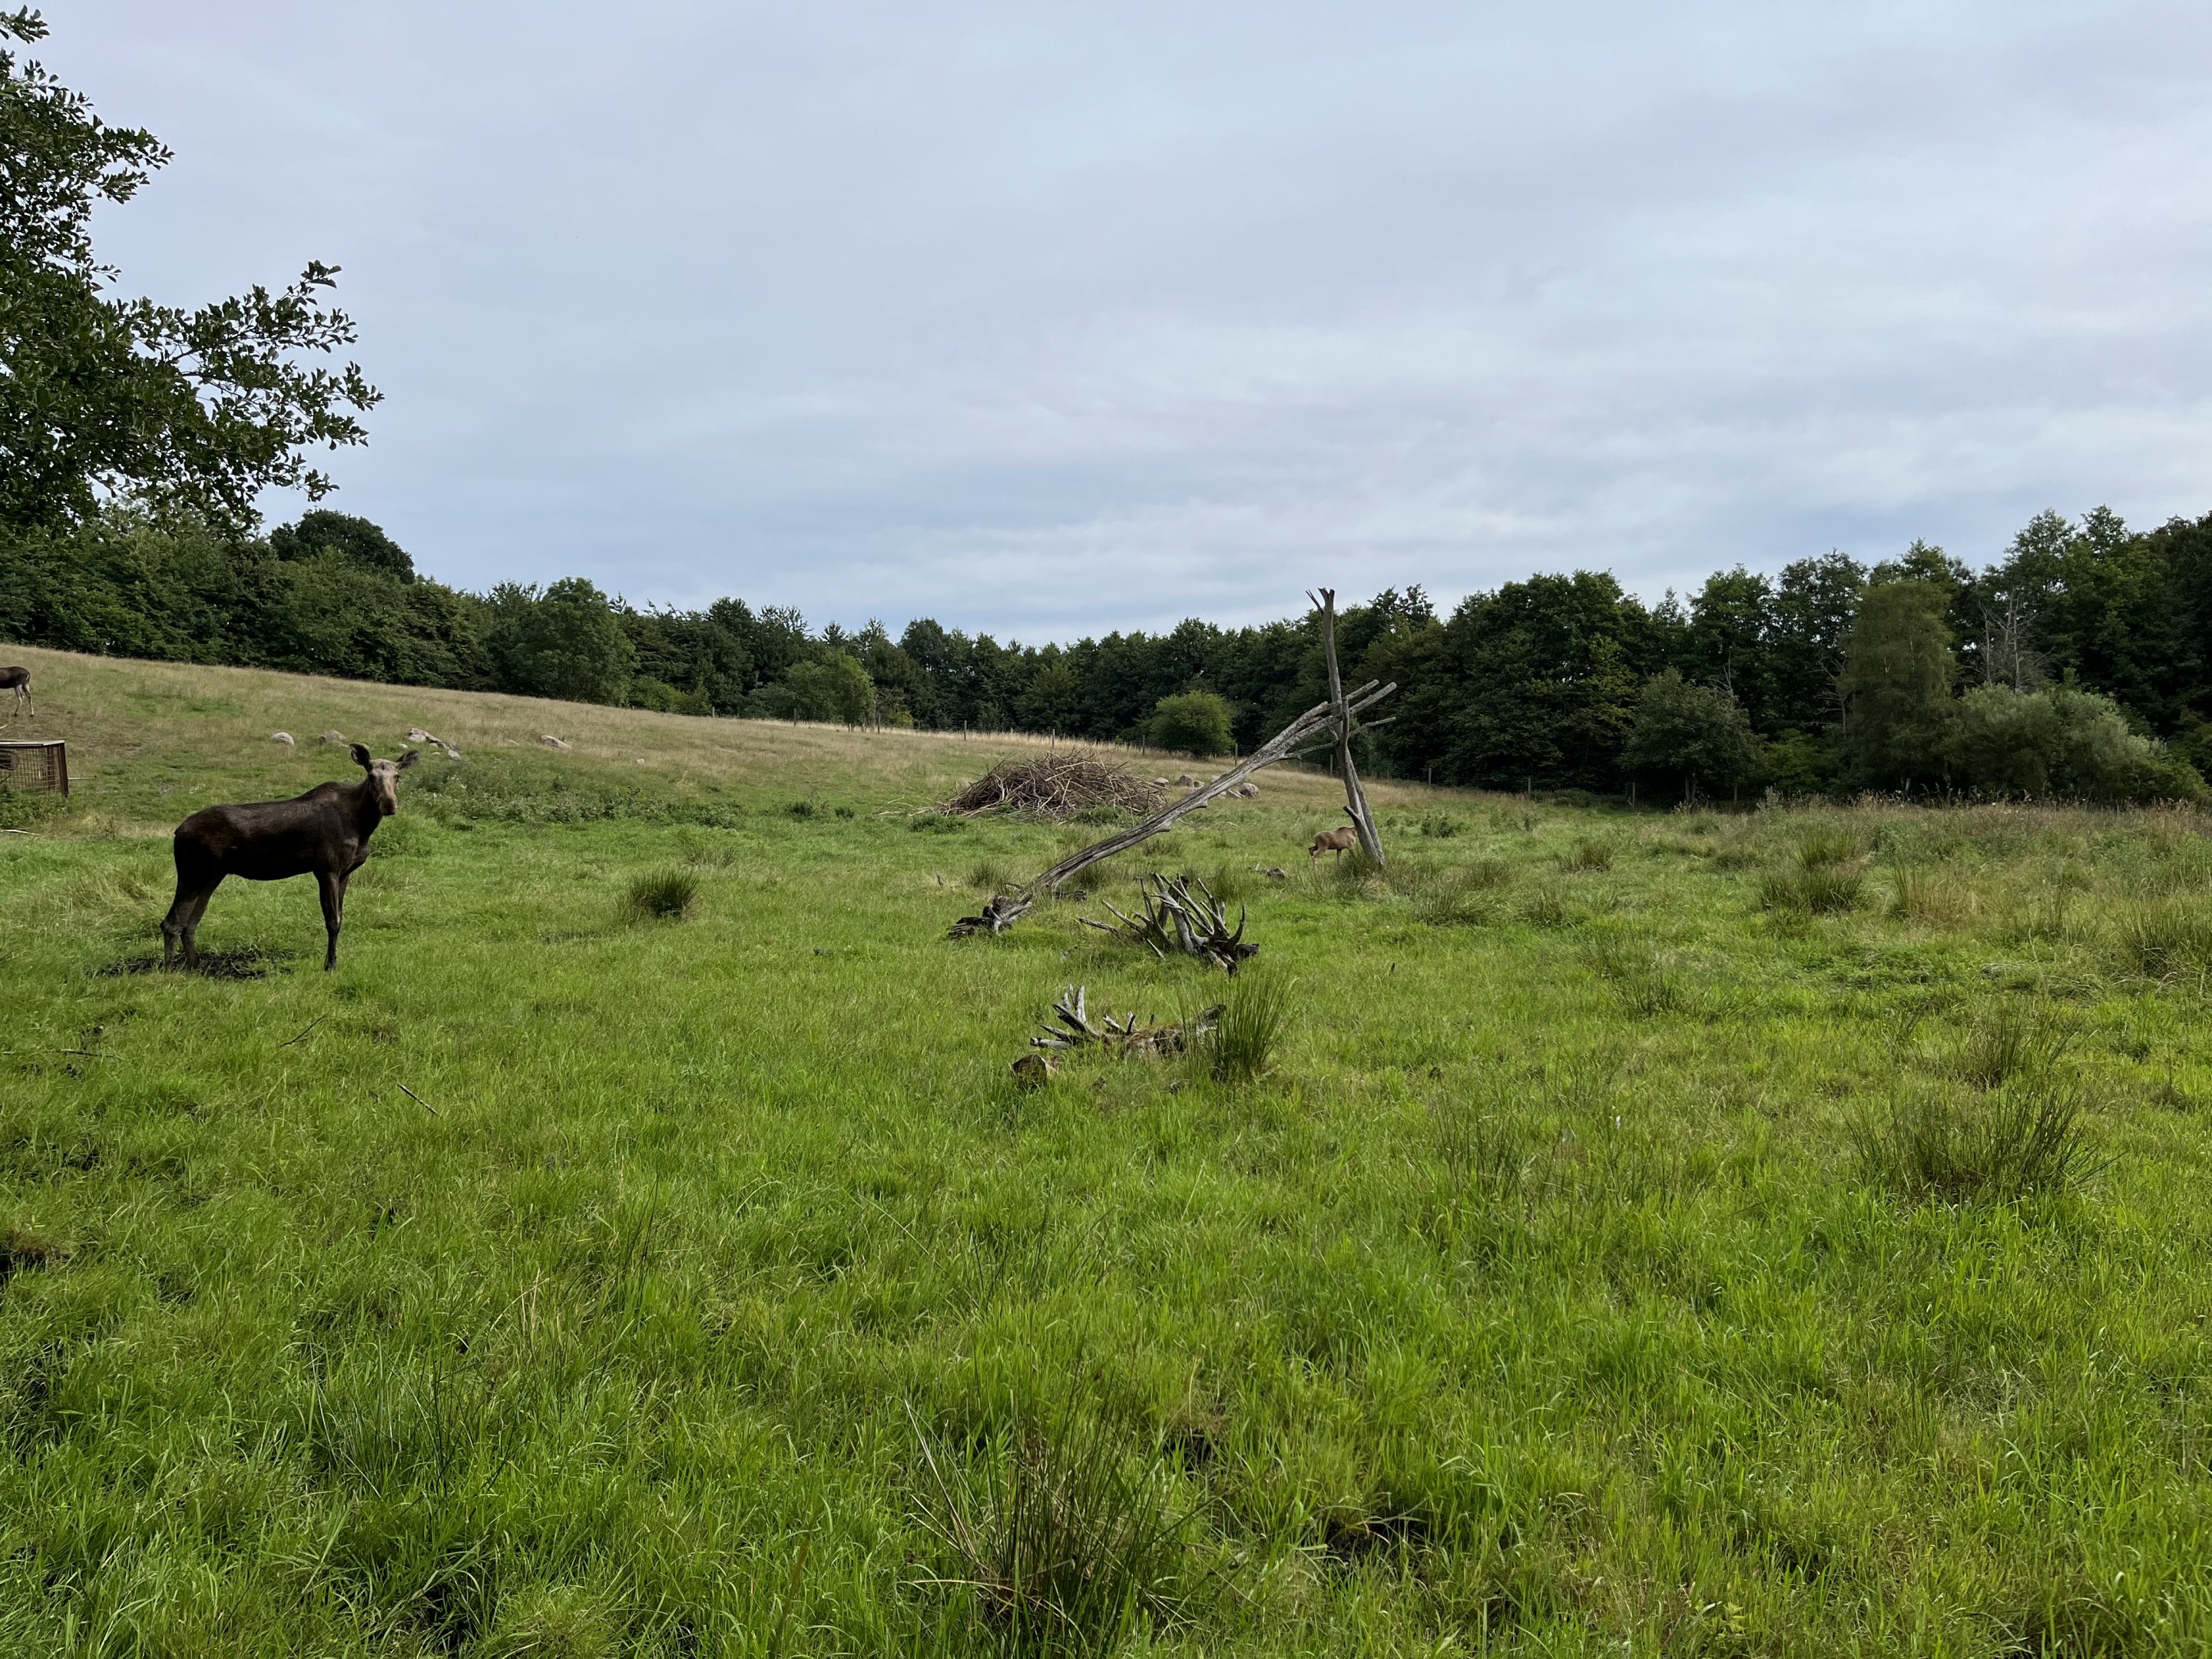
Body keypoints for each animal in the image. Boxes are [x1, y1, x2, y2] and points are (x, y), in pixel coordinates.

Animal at [162, 745, 419, 972]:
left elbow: (340, 919)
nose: (389, 804)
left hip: (213, 875)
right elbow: (332, 922)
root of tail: (178, 831)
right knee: (171, 923)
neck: (363, 826)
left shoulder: (345, 872)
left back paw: (195, 967)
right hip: (193, 873)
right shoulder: (326, 869)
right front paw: (330, 965)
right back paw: (169, 970)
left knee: (190, 923)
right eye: (371, 775)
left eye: (397, 776)